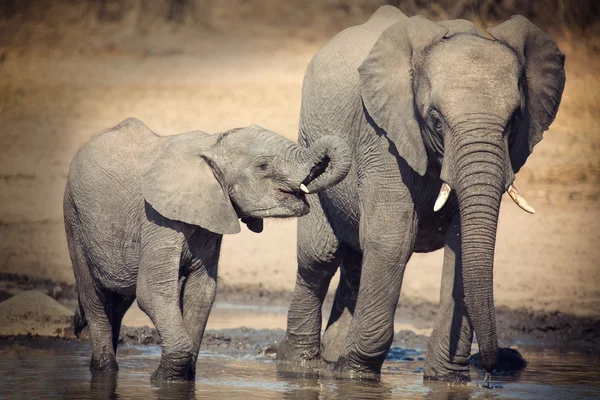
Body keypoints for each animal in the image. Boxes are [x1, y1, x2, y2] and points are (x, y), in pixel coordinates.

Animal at [62, 119, 350, 382]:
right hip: (73, 218)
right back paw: (106, 370)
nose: (310, 187)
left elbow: (202, 292)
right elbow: (153, 292)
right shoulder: (157, 219)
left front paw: (182, 377)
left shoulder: (212, 218)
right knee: (93, 297)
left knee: (118, 302)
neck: (212, 145)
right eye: (262, 166)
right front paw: (162, 380)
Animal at [278, 6, 568, 382]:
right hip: (312, 150)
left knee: (356, 257)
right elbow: (393, 239)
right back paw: (298, 365)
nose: (491, 369)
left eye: (515, 119)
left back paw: (330, 357)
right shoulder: (383, 136)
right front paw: (356, 376)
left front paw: (447, 380)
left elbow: (461, 244)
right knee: (319, 259)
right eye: (436, 119)